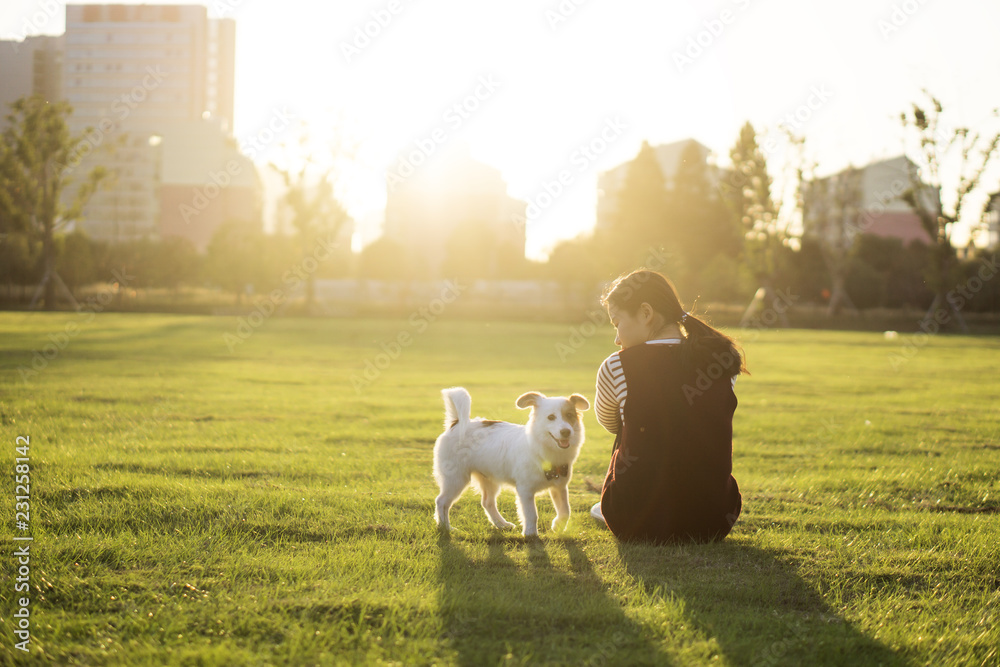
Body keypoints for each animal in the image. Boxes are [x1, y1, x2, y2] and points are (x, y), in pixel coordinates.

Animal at [434, 386, 588, 536]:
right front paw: (530, 534)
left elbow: (565, 510)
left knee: (487, 502)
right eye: (551, 417)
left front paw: (558, 526)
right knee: (441, 501)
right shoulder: (525, 490)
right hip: (456, 479)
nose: (566, 432)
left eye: (570, 415)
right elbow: (531, 514)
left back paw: (502, 524)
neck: (542, 448)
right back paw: (446, 527)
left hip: (489, 479)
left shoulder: (559, 486)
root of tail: (457, 423)